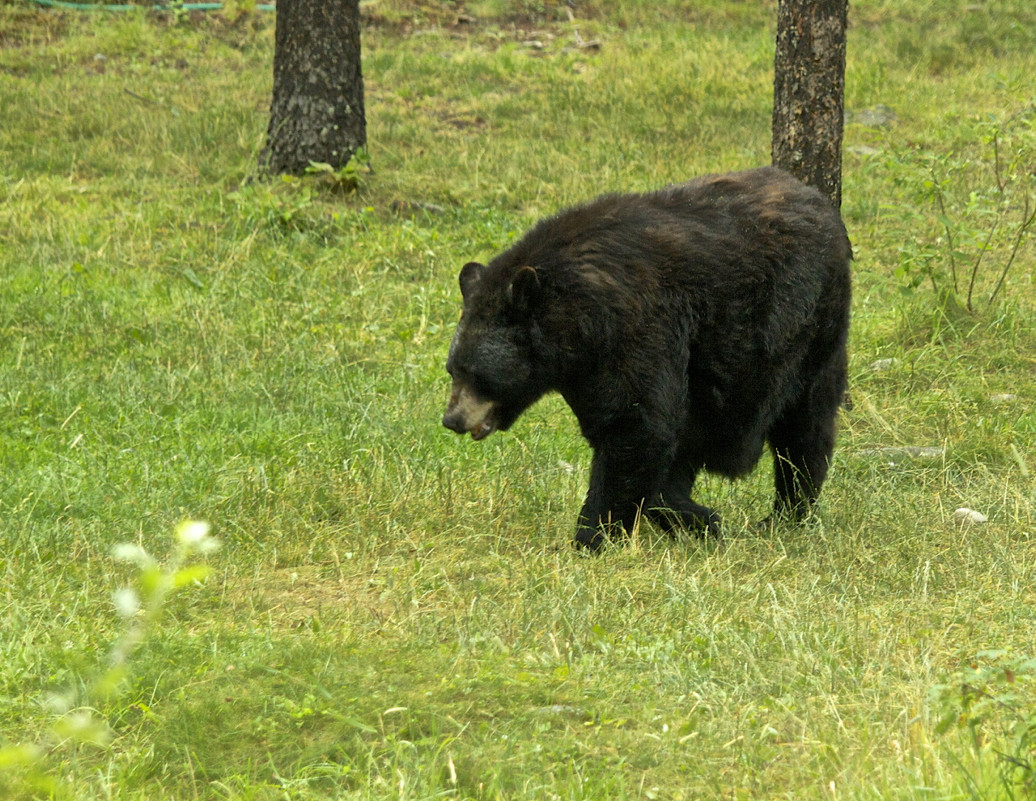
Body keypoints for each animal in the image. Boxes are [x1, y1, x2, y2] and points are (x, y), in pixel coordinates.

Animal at [441, 164, 853, 547]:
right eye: (451, 369)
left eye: (475, 372)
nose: (452, 419)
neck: (577, 323)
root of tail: (820, 200)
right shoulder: (589, 370)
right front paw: (696, 516)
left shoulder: (638, 328)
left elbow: (637, 423)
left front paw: (592, 536)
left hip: (805, 329)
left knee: (804, 424)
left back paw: (787, 511)